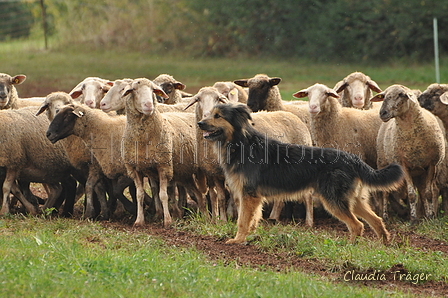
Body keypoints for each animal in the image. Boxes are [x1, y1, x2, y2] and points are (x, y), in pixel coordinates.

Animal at [184, 86, 314, 226]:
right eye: (198, 99)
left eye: (218, 99)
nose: (206, 116)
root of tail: (294, 117)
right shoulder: (215, 173)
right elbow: (221, 197)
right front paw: (222, 220)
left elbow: (236, 198)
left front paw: (237, 218)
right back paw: (274, 217)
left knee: (308, 194)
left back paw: (308, 222)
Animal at [198, 103, 404, 243]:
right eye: (209, 114)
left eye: (218, 116)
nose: (199, 123)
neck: (241, 143)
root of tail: (353, 159)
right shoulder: (253, 197)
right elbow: (253, 219)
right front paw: (251, 237)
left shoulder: (248, 195)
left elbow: (242, 220)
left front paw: (237, 241)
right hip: (353, 200)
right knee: (376, 220)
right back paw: (383, 245)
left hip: (334, 200)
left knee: (357, 225)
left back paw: (351, 246)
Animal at [370, 84, 446, 221]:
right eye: (383, 96)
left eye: (401, 94)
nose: (382, 113)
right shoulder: (403, 165)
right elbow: (411, 194)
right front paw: (413, 220)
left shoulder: (432, 165)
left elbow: (428, 193)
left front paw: (430, 216)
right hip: (383, 162)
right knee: (385, 192)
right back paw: (385, 216)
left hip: (419, 172)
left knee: (421, 191)